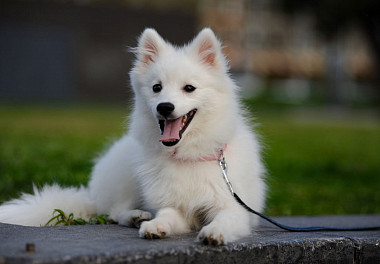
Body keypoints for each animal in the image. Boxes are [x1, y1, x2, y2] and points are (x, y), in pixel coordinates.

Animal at [0, 27, 266, 244]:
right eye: (157, 87)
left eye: (189, 88)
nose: (164, 107)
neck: (188, 154)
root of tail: (92, 196)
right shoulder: (174, 206)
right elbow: (167, 215)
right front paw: (155, 225)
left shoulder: (234, 207)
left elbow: (224, 219)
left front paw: (213, 232)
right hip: (127, 175)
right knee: (114, 211)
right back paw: (136, 216)